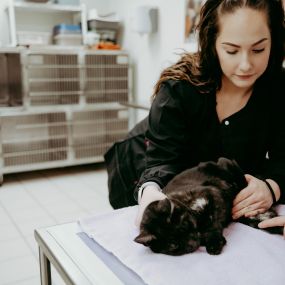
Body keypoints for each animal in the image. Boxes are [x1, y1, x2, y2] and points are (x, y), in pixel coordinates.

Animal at [134, 158, 282, 255]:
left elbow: (214, 224)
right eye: (173, 245)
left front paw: (214, 243)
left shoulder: (213, 194)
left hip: (223, 163)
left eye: (184, 226)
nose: (192, 242)